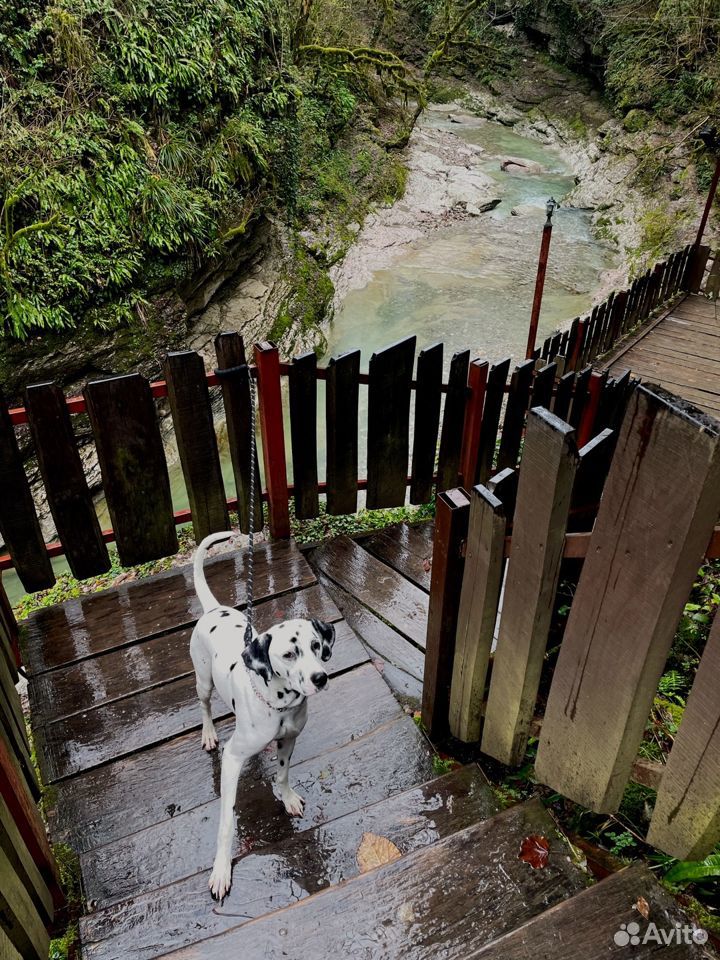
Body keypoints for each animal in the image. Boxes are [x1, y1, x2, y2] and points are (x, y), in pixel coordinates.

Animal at [187, 532, 336, 900]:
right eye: (288, 654)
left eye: (316, 646)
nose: (320, 678)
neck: (278, 705)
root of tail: (214, 609)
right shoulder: (232, 759)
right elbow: (227, 820)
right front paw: (221, 868)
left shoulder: (288, 739)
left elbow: (282, 774)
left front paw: (287, 796)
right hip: (203, 681)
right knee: (205, 706)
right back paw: (208, 732)